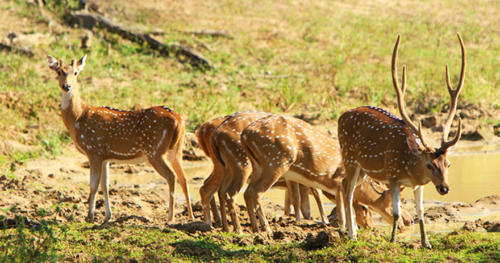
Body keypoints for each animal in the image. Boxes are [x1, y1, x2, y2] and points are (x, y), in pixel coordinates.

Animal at [47, 54, 193, 224]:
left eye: (76, 72)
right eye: (59, 72)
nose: (67, 86)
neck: (78, 118)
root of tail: (179, 120)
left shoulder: (94, 150)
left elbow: (93, 185)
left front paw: (90, 216)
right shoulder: (105, 157)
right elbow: (105, 185)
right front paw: (107, 216)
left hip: (155, 150)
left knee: (172, 176)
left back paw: (170, 218)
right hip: (176, 149)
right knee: (184, 177)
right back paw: (191, 216)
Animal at [241, 114, 410, 232]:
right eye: (396, 203)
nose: (405, 224)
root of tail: (245, 134)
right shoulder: (339, 182)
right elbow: (343, 216)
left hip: (258, 165)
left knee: (247, 192)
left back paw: (255, 229)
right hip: (275, 162)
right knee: (255, 192)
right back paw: (266, 228)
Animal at [340, 33, 464, 250]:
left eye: (448, 163)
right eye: (430, 165)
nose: (444, 188)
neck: (411, 169)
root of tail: (340, 116)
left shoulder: (418, 185)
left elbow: (420, 212)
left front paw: (426, 243)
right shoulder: (393, 176)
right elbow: (397, 212)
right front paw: (392, 240)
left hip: (363, 168)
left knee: (345, 184)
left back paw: (351, 231)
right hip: (349, 157)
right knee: (347, 190)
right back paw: (352, 234)